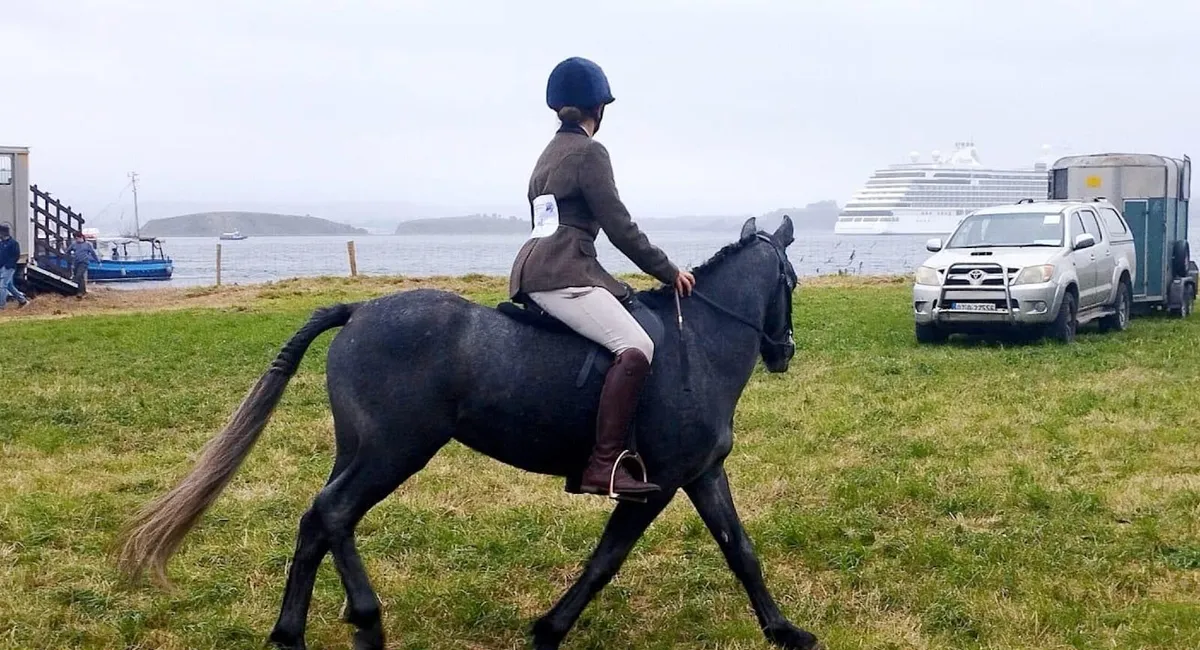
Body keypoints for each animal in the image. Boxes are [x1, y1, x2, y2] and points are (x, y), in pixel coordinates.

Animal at [117, 215, 821, 650]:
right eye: (791, 280)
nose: (784, 352)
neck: (695, 343)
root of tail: (358, 311)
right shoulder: (658, 484)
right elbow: (605, 560)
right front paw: (548, 629)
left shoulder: (701, 473)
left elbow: (741, 551)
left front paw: (784, 631)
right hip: (394, 451)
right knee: (334, 513)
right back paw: (367, 622)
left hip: (361, 451)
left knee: (317, 521)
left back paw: (292, 633)